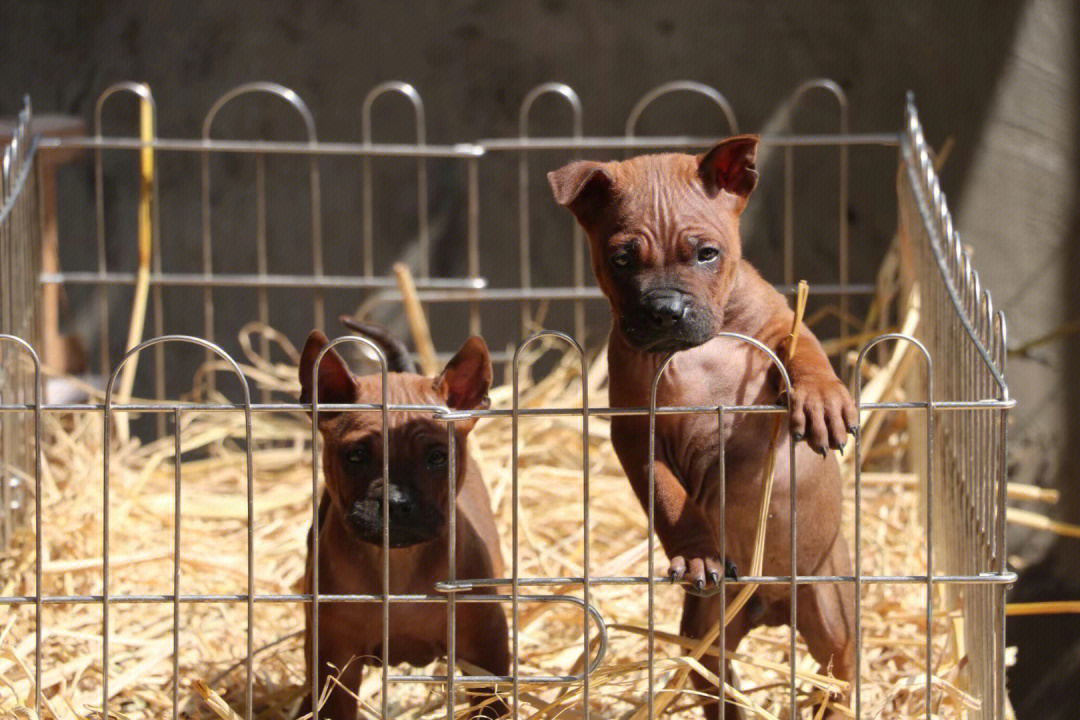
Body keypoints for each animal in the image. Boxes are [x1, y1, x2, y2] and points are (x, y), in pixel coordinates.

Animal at [295, 325, 509, 720]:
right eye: (356, 456)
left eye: (437, 457)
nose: (395, 502)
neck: (398, 562)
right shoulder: (336, 658)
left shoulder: (485, 647)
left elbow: (493, 704)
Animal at [552, 136, 855, 720]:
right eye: (622, 259)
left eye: (706, 254)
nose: (666, 309)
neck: (696, 351)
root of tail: (770, 605)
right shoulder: (637, 433)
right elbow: (669, 498)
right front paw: (695, 552)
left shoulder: (780, 328)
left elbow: (806, 353)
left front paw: (823, 399)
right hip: (708, 635)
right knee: (718, 684)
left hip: (831, 610)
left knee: (838, 674)